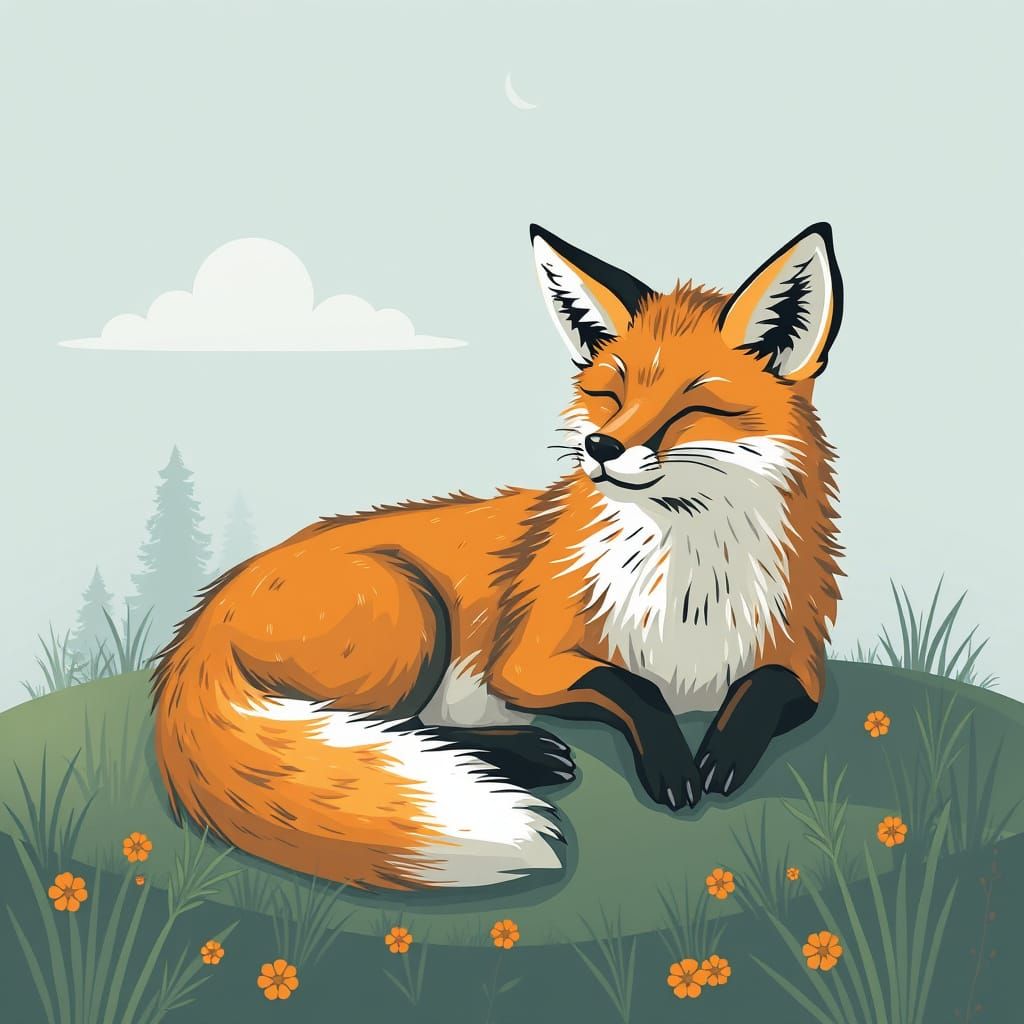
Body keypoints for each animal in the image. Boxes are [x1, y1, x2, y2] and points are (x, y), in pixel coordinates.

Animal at [152, 222, 843, 891]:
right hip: (412, 613)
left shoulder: (799, 661)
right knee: (383, 727)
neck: (691, 592)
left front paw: (723, 752)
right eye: (610, 396)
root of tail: (201, 619)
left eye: (694, 406)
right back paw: (519, 753)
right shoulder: (526, 662)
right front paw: (672, 762)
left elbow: (769, 688)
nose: (599, 446)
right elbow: (627, 684)